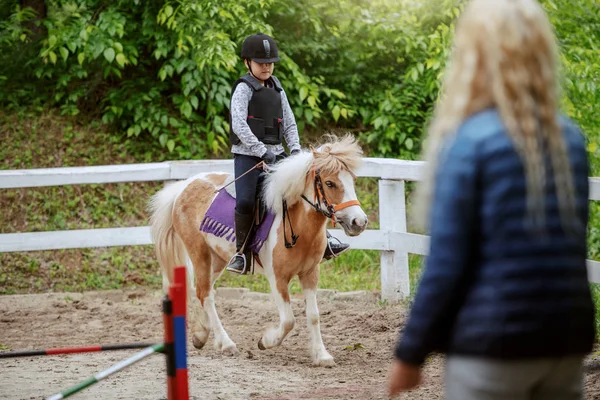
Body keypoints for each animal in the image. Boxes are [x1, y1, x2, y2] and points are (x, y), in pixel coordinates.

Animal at [148, 134, 368, 366]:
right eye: (329, 183)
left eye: (352, 181)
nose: (359, 222)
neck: (298, 225)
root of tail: (184, 187)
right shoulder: (277, 278)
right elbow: (288, 320)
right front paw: (266, 341)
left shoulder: (310, 273)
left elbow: (314, 315)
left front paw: (322, 355)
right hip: (199, 253)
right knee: (205, 293)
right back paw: (226, 343)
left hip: (217, 258)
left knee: (202, 290)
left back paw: (201, 335)